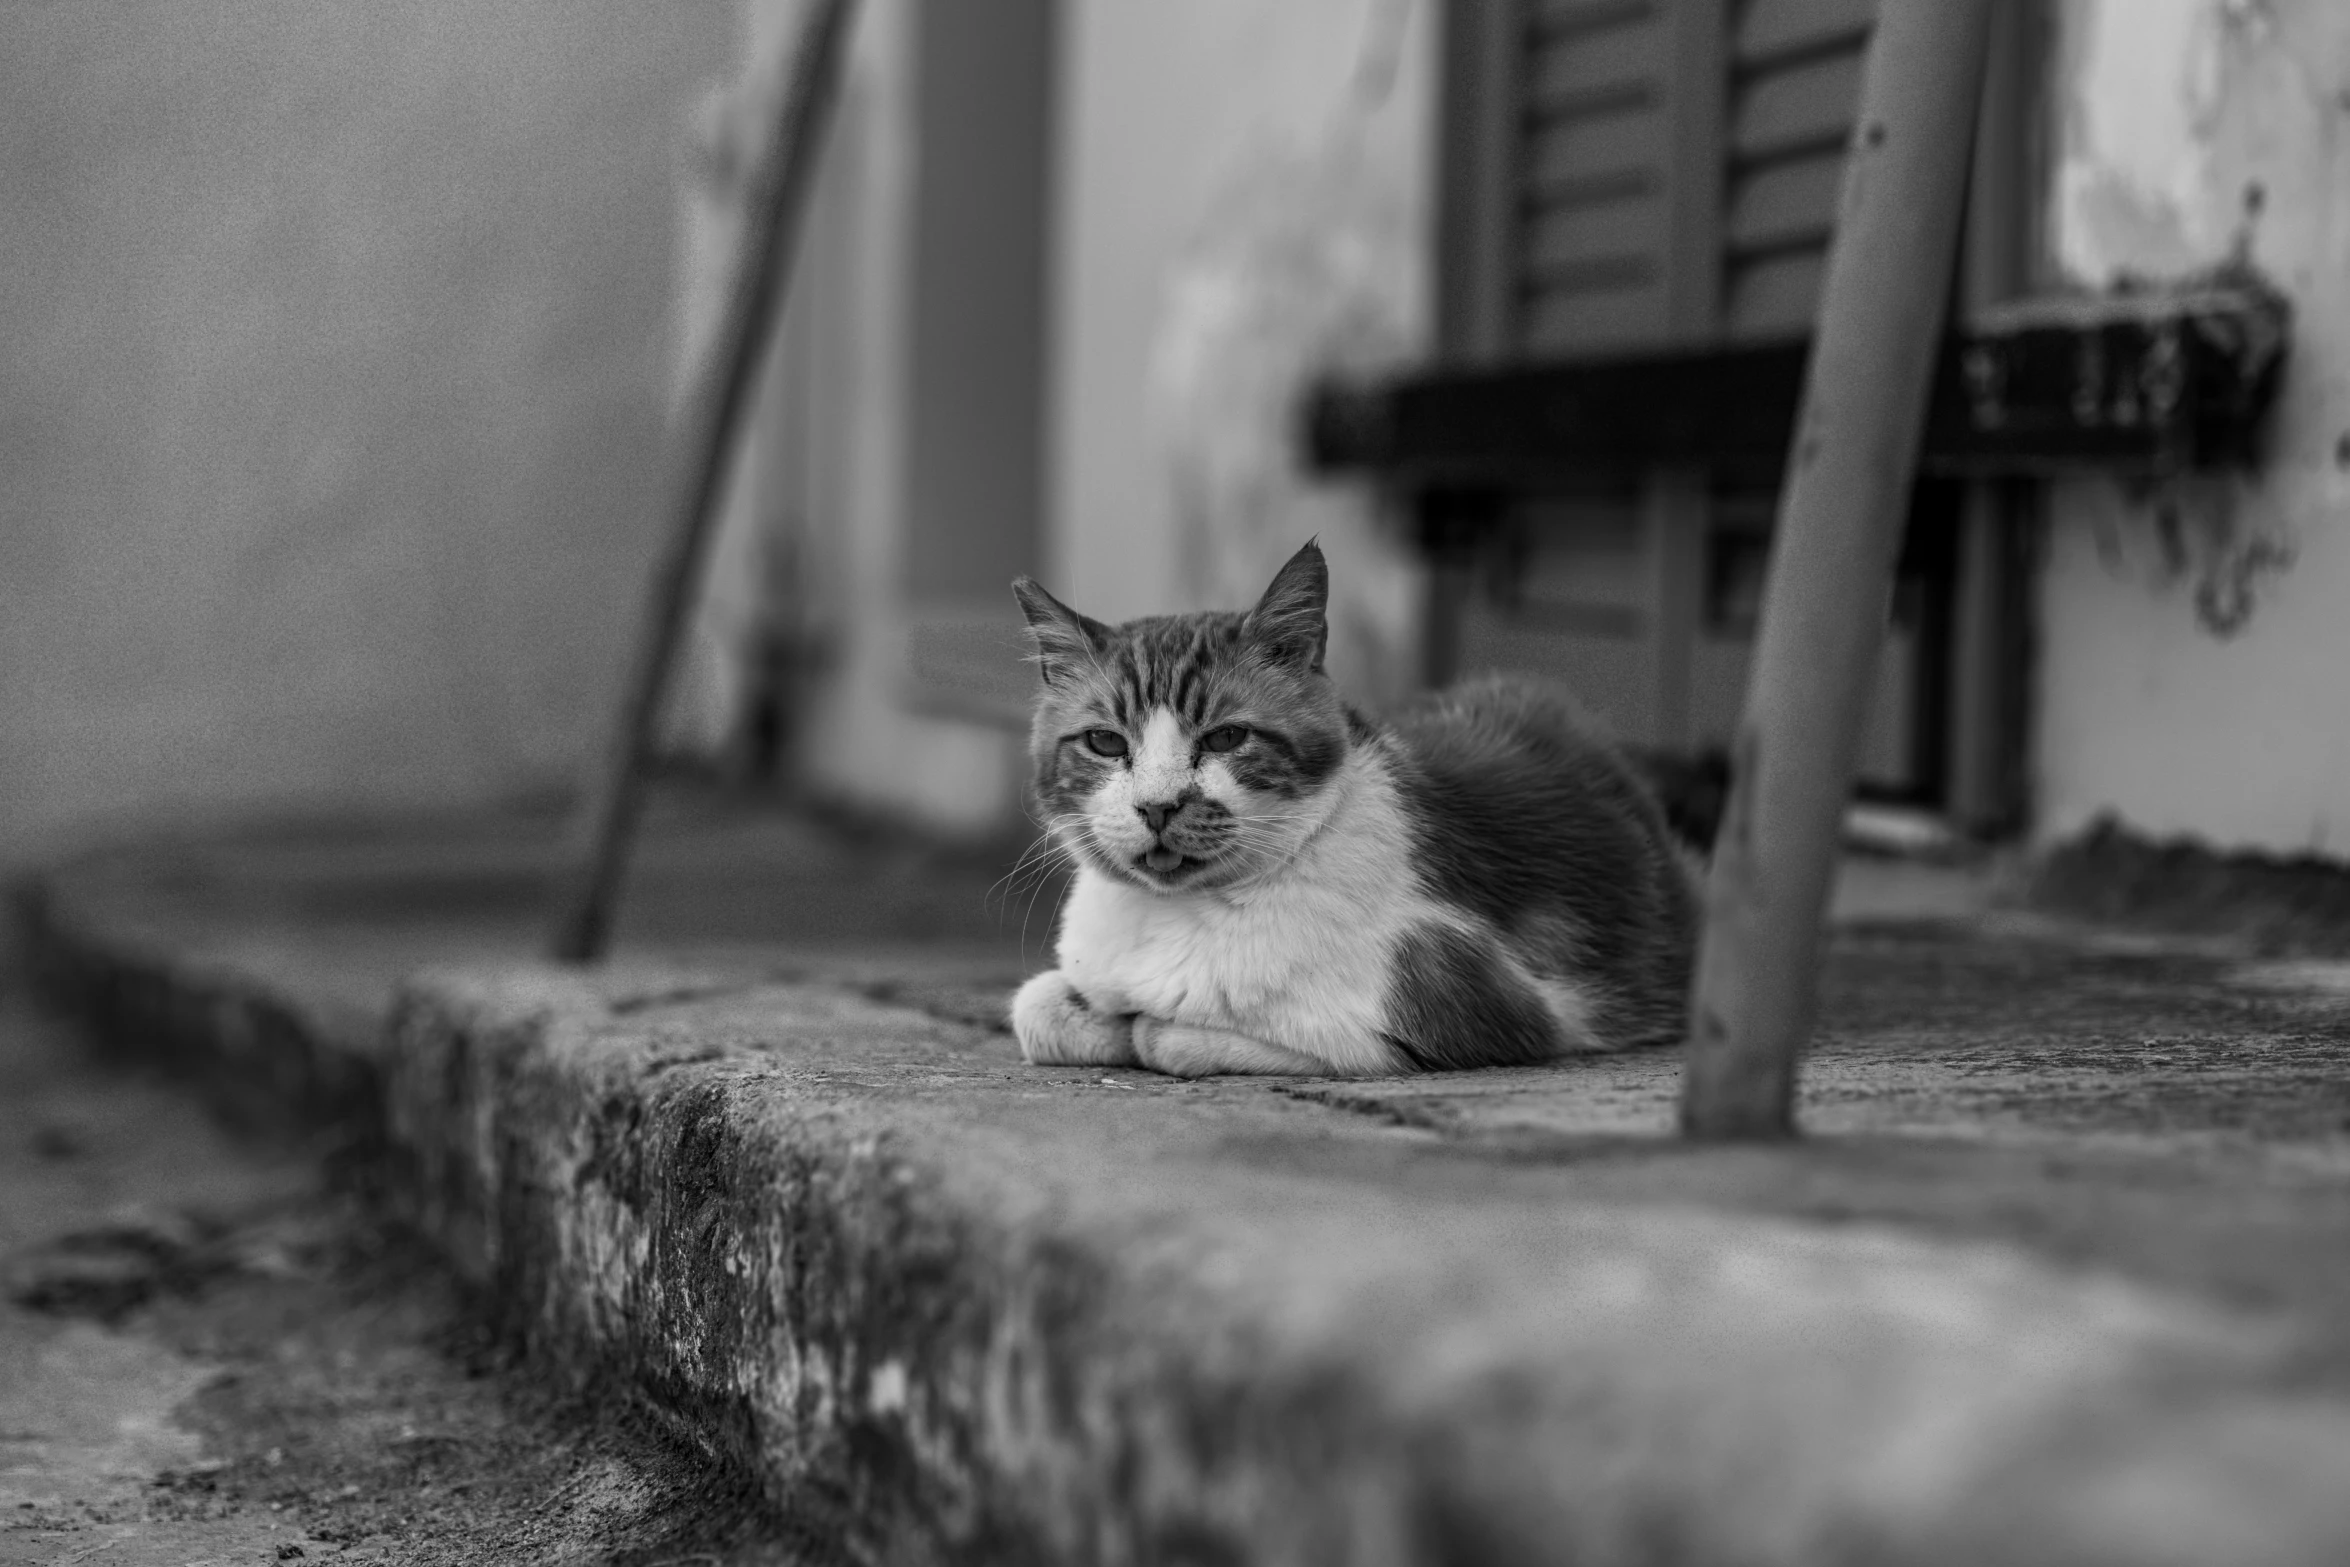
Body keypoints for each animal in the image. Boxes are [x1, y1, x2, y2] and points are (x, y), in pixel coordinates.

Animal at [1005, 542, 1691, 1080]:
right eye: (1105, 742)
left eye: (1227, 738)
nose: (1157, 806)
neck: (1171, 917)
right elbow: (1035, 1008)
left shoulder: (1478, 1009)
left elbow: (1166, 1036)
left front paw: (1143, 1027)